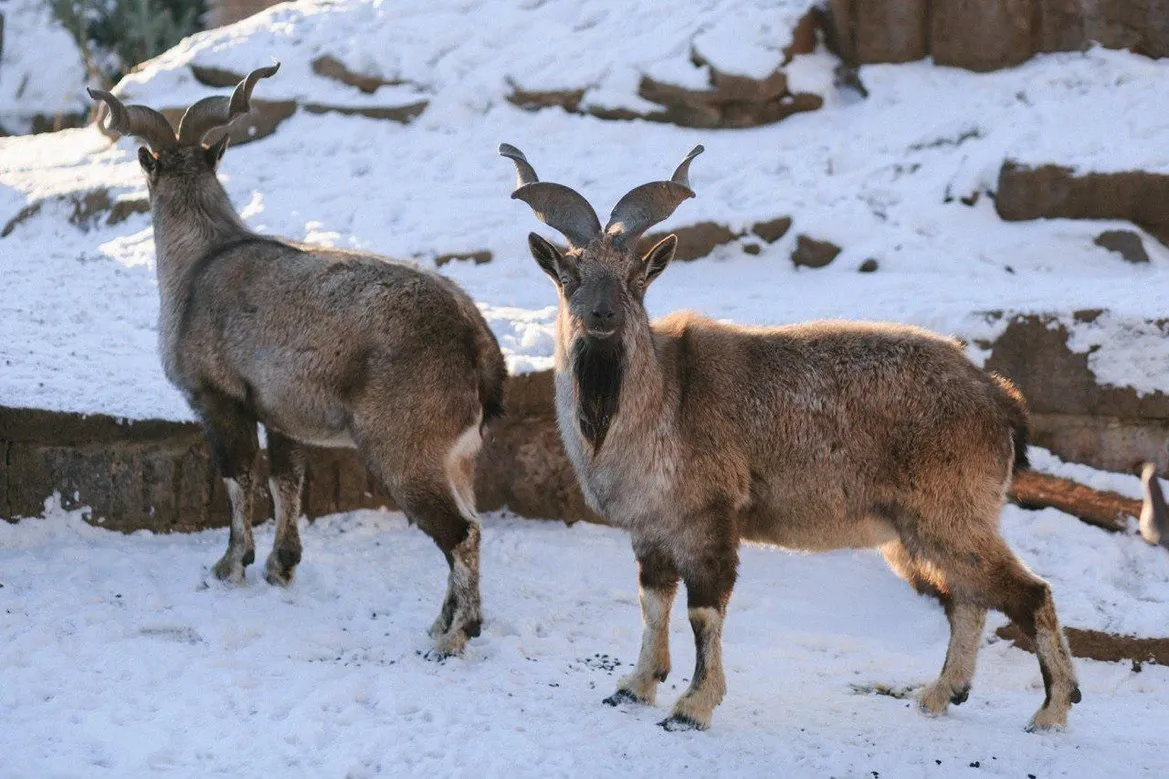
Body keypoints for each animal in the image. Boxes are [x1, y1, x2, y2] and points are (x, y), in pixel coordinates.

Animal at [88, 65, 505, 655]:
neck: (199, 264)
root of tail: (479, 348)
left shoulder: (218, 399)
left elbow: (239, 478)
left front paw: (229, 566)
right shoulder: (283, 414)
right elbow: (287, 481)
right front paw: (280, 566)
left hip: (405, 450)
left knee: (460, 533)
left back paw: (453, 637)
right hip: (457, 457)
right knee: (473, 524)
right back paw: (444, 620)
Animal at [497, 142, 1080, 729]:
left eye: (635, 278)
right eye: (570, 274)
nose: (603, 315)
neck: (658, 401)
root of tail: (999, 399)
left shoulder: (710, 519)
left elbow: (703, 612)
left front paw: (693, 706)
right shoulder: (651, 531)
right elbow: (653, 605)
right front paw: (636, 686)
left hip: (951, 513)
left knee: (1028, 593)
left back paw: (1052, 710)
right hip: (913, 533)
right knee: (967, 599)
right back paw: (941, 694)